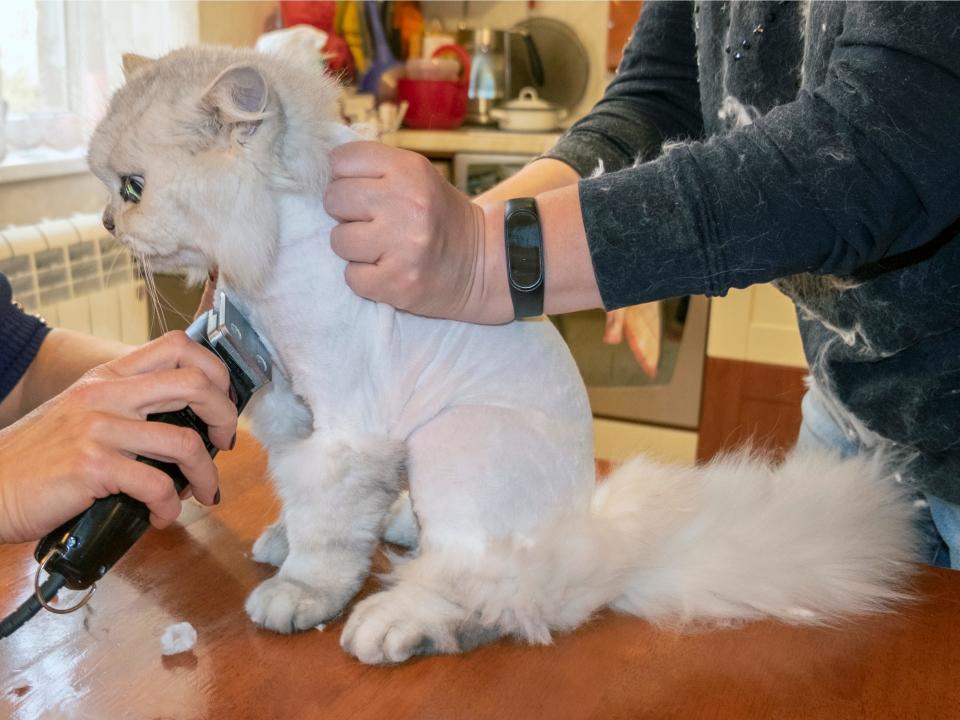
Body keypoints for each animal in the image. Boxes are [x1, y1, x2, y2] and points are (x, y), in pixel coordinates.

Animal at [88, 46, 916, 664]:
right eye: (108, 186)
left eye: (133, 187)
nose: (102, 222)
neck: (276, 247)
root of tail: (597, 545)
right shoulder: (290, 406)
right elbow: (301, 500)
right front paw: (283, 541)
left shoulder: (347, 427)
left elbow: (327, 534)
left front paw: (300, 592)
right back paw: (402, 531)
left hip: (456, 440)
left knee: (507, 594)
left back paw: (398, 624)